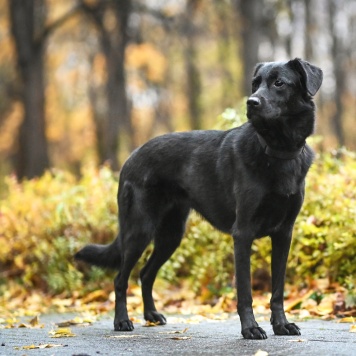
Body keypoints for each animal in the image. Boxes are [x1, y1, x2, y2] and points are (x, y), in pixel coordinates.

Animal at [76, 57, 322, 340]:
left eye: (279, 83)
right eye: (255, 83)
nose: (251, 102)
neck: (276, 151)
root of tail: (131, 156)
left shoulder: (284, 234)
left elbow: (278, 289)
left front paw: (282, 325)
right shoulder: (243, 233)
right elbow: (245, 291)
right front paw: (250, 328)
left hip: (171, 235)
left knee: (146, 274)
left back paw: (151, 315)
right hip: (139, 231)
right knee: (120, 278)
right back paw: (122, 321)